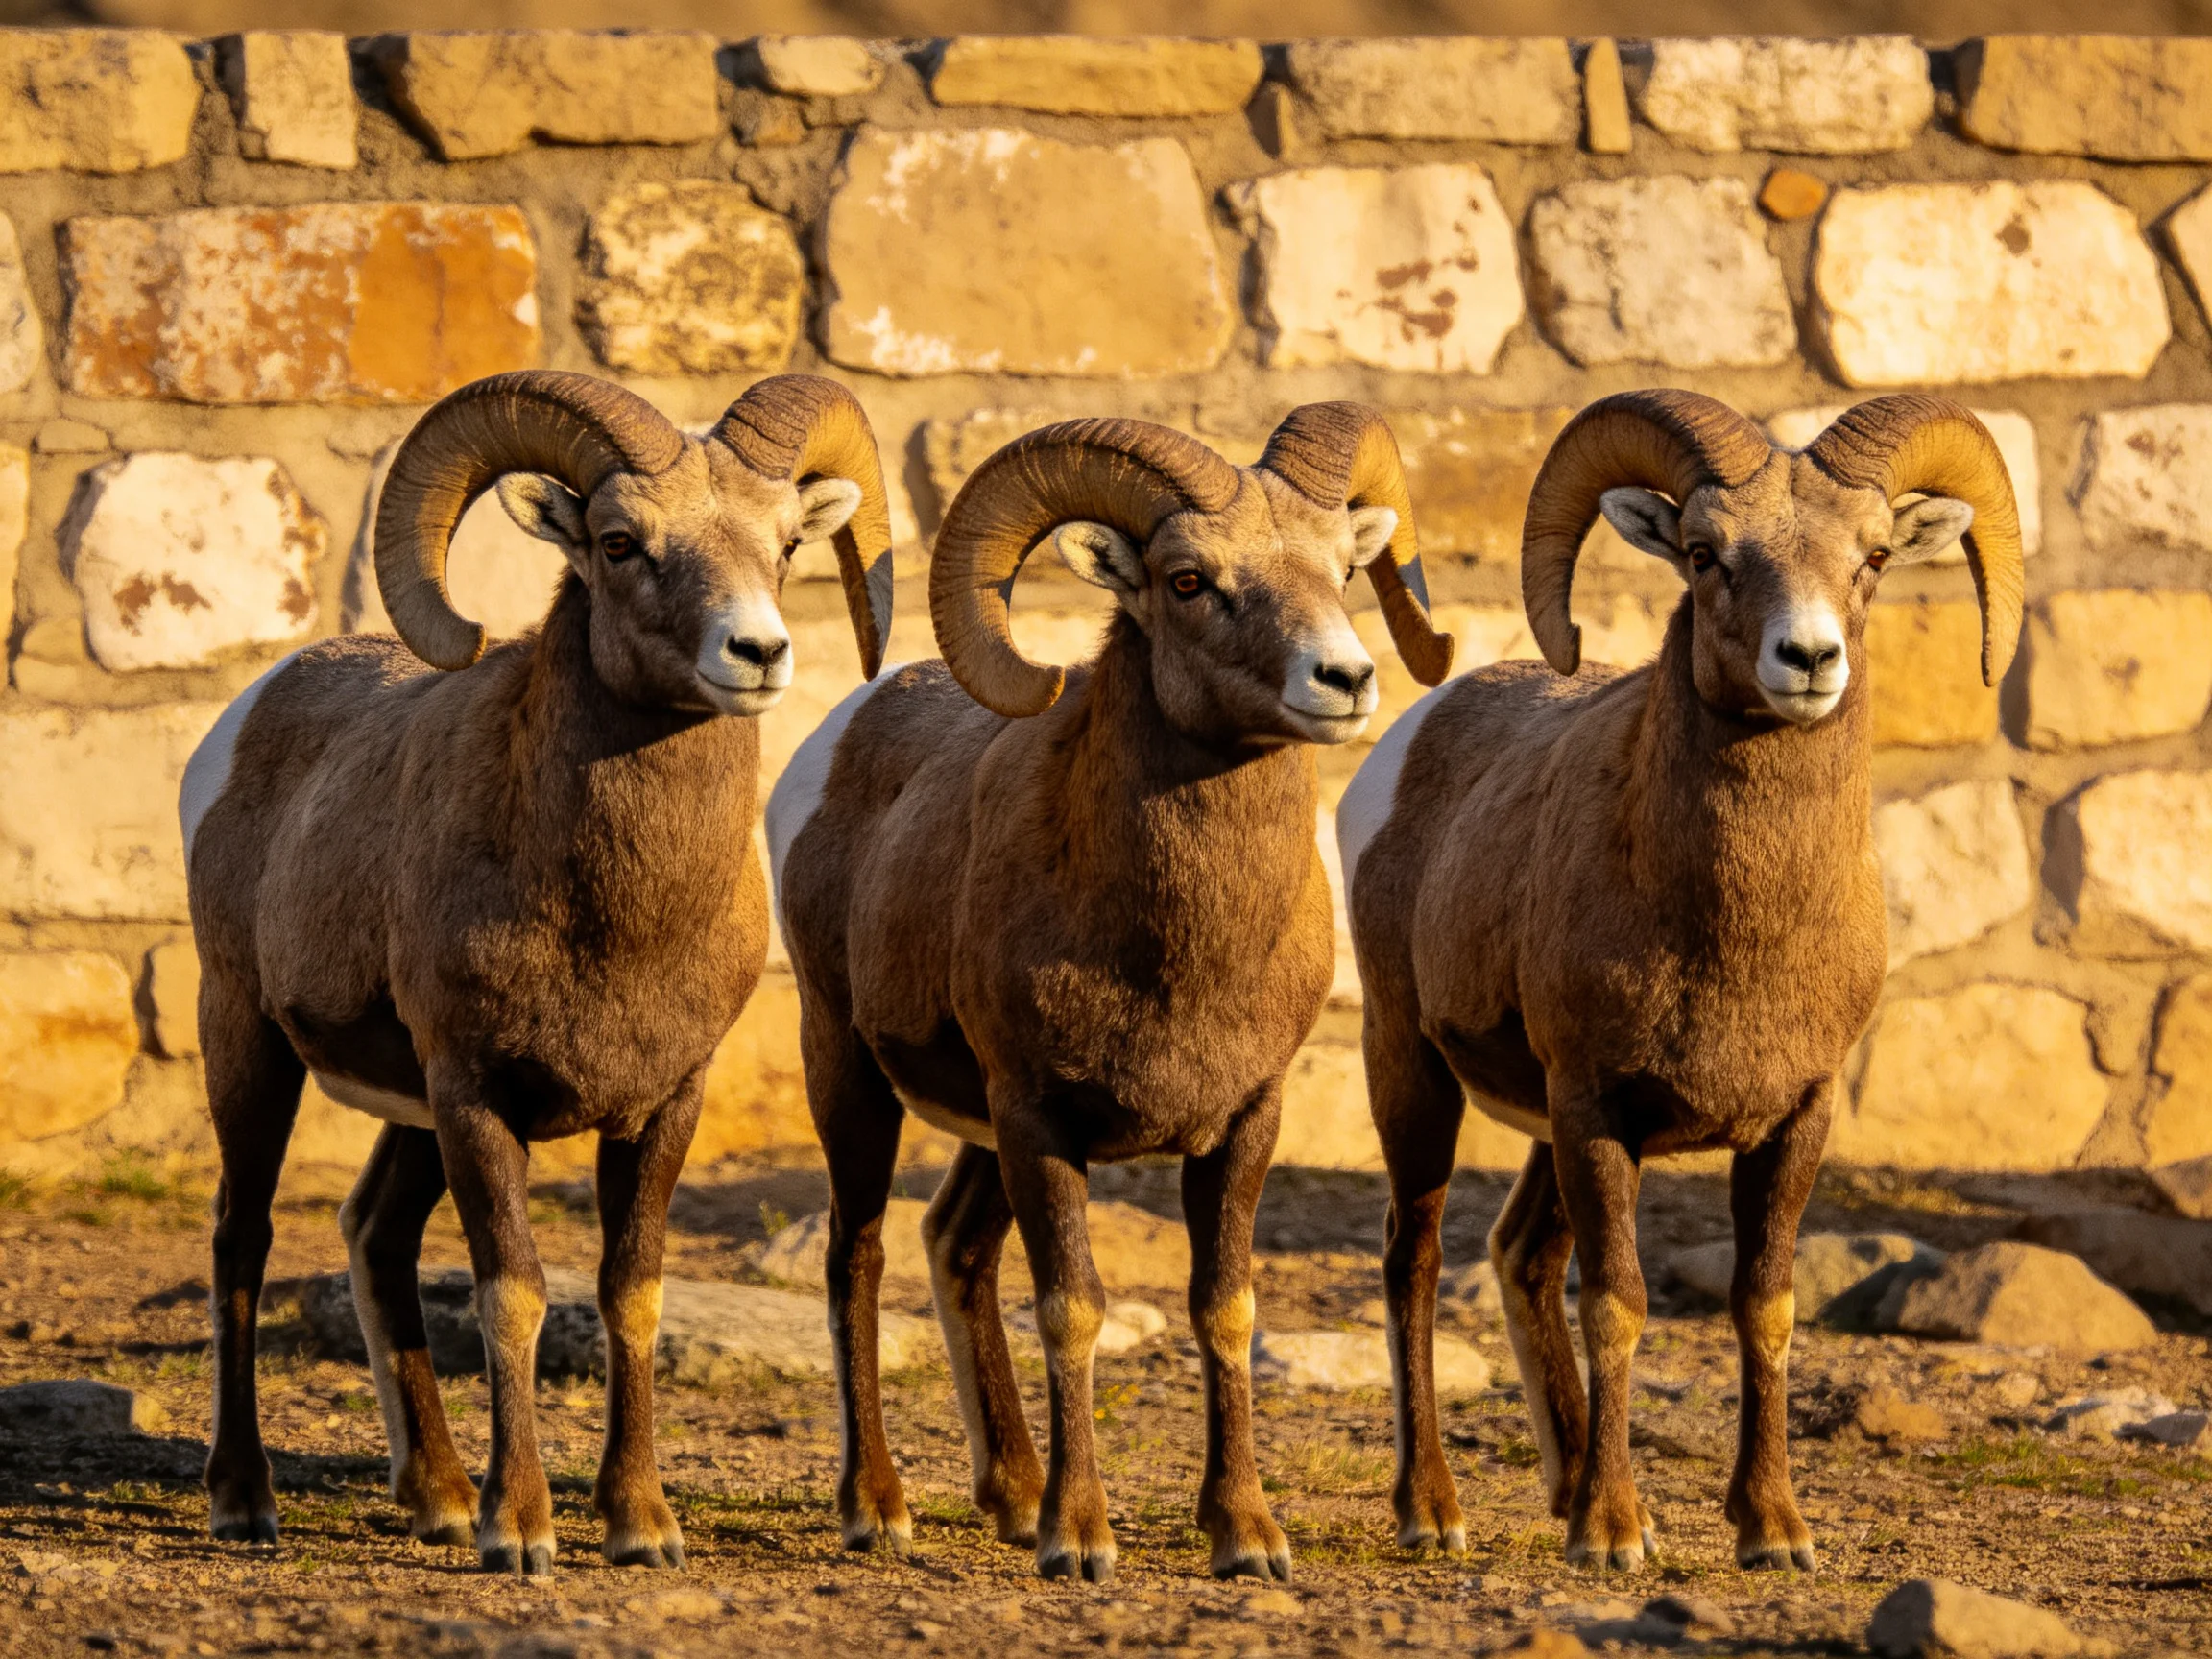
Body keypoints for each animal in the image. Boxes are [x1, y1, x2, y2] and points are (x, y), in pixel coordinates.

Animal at [180, 369, 893, 1575]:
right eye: (619, 542)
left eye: (788, 541)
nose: (757, 653)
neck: (608, 918)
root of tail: (245, 718)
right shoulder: (478, 1096)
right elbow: (511, 1295)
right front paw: (519, 1531)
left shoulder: (661, 1104)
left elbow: (631, 1295)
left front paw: (641, 1526)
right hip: (248, 1041)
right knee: (243, 1235)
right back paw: (245, 1501)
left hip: (407, 1112)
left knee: (374, 1233)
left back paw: (434, 1497)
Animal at [768, 406, 1455, 1583]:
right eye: (1188, 581)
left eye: (1341, 568)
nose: (1345, 677)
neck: (1171, 953)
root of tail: (833, 737)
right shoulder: (1040, 1118)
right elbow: (1073, 1311)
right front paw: (1080, 1539)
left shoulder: (1242, 1122)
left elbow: (1224, 1309)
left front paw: (1246, 1536)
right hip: (848, 1072)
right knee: (856, 1253)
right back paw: (879, 1509)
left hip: (976, 1131)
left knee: (955, 1246)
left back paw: (1010, 1496)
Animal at [1337, 391, 2022, 1573]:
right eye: (1706, 555)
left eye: (1874, 557)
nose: (1809, 657)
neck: (1728, 928)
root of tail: (1404, 746)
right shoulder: (1597, 1108)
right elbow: (1618, 1304)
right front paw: (1612, 1538)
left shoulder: (1794, 1120)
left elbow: (1766, 1308)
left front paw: (1773, 1532)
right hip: (1414, 1070)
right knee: (1412, 1260)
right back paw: (1436, 1511)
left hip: (1538, 1129)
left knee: (1520, 1255)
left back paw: (1571, 1489)